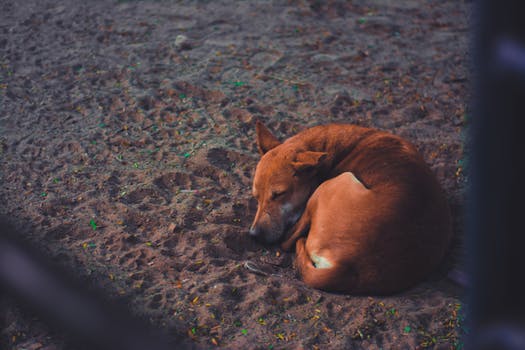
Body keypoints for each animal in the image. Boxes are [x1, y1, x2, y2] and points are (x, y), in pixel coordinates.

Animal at [249, 121, 450, 294]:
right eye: (256, 196)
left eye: (279, 194)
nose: (254, 235)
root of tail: (350, 268)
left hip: (334, 183)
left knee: (288, 240)